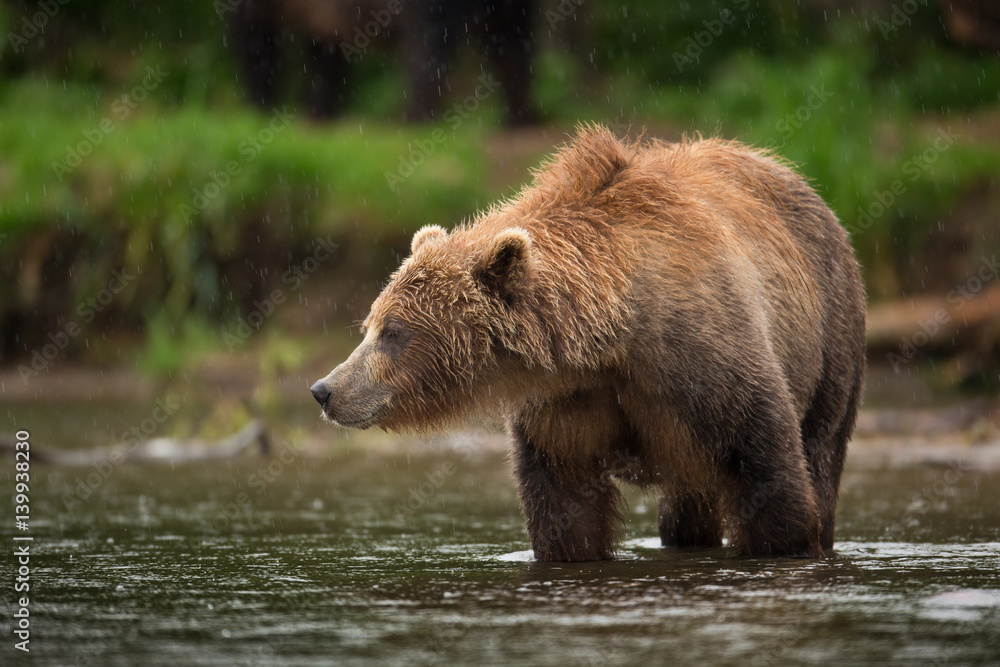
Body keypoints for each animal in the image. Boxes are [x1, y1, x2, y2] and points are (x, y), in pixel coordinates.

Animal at [310, 125, 866, 562]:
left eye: (394, 332)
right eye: (369, 324)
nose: (325, 389)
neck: (611, 336)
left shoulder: (704, 362)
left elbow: (768, 477)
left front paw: (784, 541)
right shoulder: (565, 405)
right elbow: (565, 508)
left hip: (830, 335)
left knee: (820, 447)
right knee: (686, 506)